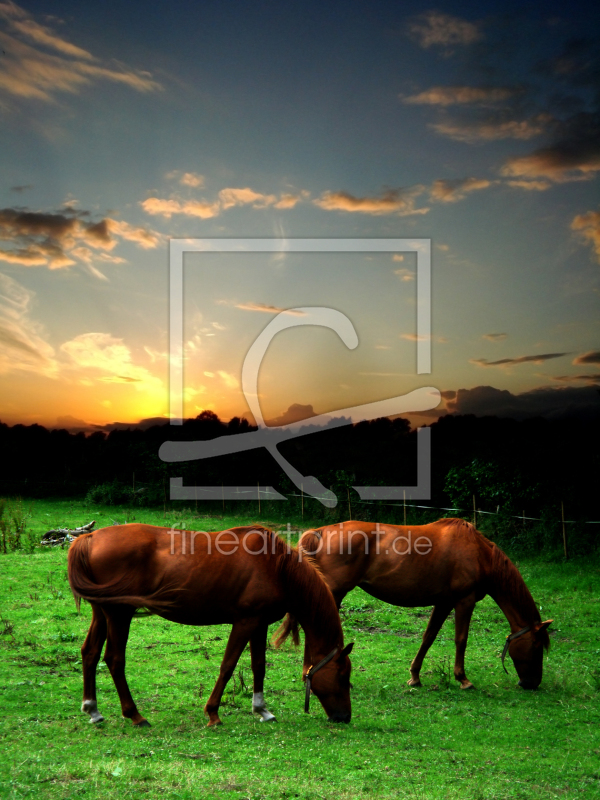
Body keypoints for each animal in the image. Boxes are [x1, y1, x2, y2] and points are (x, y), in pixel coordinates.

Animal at [68, 520, 354, 728]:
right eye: (343, 676)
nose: (344, 718)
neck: (276, 566)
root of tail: (89, 538)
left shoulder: (259, 624)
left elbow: (258, 666)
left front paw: (262, 709)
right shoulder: (244, 622)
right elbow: (228, 666)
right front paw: (213, 713)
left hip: (102, 613)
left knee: (90, 653)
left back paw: (93, 710)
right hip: (119, 614)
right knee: (115, 660)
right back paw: (135, 715)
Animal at [292, 520, 552, 692]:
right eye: (537, 646)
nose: (532, 683)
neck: (479, 554)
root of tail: (320, 532)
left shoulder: (443, 603)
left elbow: (428, 637)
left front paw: (415, 676)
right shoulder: (464, 601)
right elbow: (461, 639)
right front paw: (463, 679)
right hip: (333, 594)